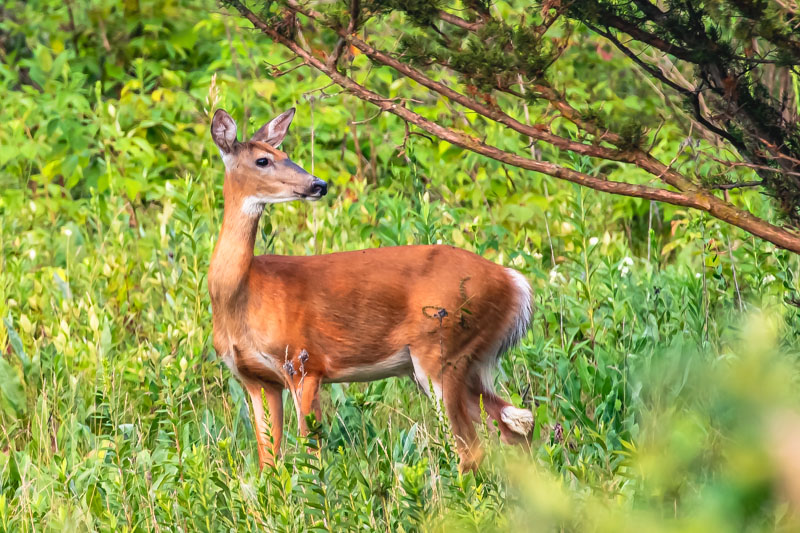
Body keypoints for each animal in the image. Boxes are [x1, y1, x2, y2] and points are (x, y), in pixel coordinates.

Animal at [208, 107, 534, 472]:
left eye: (286, 154)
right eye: (263, 160)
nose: (318, 184)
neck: (242, 296)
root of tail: (515, 282)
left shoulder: (305, 363)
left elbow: (312, 451)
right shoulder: (257, 380)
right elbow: (268, 461)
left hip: (443, 351)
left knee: (473, 446)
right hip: (465, 362)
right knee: (516, 423)